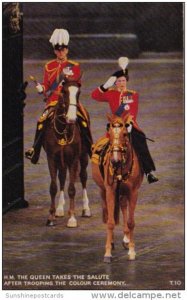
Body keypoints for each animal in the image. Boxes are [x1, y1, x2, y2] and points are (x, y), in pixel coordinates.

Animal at [43, 78, 91, 226]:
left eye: (78, 93)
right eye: (63, 91)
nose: (71, 118)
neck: (63, 130)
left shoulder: (74, 159)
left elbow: (72, 188)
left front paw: (72, 218)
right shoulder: (52, 158)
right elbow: (53, 186)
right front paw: (51, 216)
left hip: (83, 157)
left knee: (83, 177)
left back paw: (86, 209)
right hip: (62, 161)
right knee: (63, 178)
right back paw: (59, 209)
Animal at [91, 113, 143, 262]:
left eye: (125, 134)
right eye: (110, 133)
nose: (114, 160)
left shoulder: (133, 192)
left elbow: (131, 222)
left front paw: (132, 250)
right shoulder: (110, 190)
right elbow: (110, 222)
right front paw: (107, 253)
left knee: (123, 207)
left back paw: (126, 239)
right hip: (103, 191)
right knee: (108, 213)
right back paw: (113, 242)